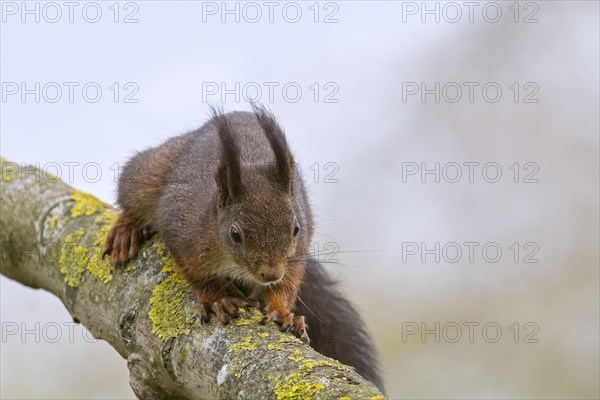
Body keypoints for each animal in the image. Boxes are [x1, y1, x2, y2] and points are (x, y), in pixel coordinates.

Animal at [102, 104, 384, 390]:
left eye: (296, 228)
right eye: (235, 234)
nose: (270, 274)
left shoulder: (296, 253)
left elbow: (288, 283)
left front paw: (284, 312)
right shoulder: (183, 234)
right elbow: (197, 276)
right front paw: (218, 299)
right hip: (145, 175)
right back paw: (127, 230)